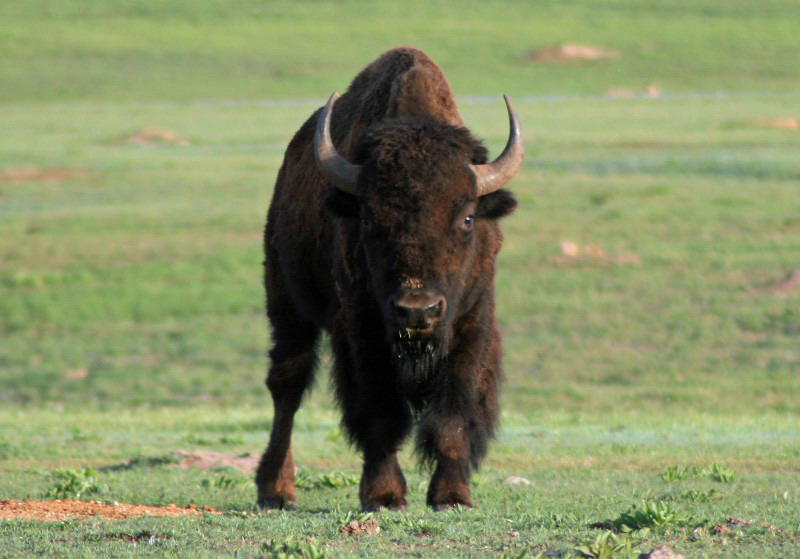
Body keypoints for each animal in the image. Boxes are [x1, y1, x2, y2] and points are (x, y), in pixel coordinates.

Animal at [256, 47, 523, 511]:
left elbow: (453, 416)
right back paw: (276, 490)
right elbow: (380, 412)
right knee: (287, 385)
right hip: (287, 306)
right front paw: (383, 496)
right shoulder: (363, 328)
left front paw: (452, 495)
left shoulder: (471, 321)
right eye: (367, 218)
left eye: (467, 217)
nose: (417, 311)